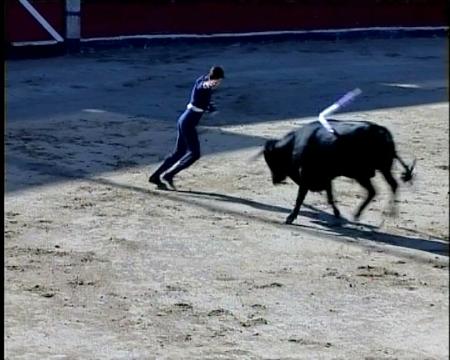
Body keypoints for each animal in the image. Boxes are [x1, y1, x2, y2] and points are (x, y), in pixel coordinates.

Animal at [264, 119, 414, 224]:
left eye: (272, 160)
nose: (275, 180)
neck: (294, 145)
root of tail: (382, 131)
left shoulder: (308, 176)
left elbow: (300, 197)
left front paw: (290, 217)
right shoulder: (325, 178)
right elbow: (330, 196)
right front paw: (337, 213)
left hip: (369, 172)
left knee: (385, 187)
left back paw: (389, 212)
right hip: (374, 171)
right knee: (380, 189)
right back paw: (360, 214)